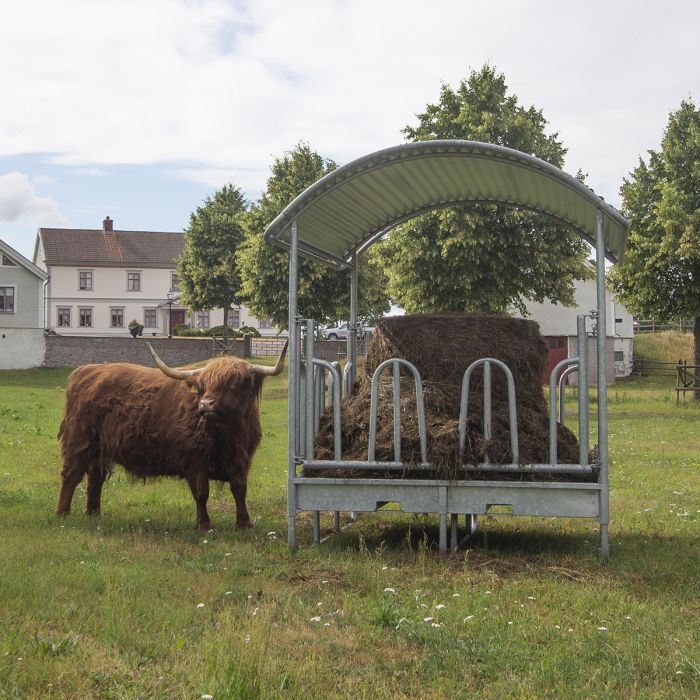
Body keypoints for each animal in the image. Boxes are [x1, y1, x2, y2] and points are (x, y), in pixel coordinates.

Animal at [56, 340, 288, 532]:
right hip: (79, 441)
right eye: (203, 386)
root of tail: (87, 370)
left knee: (95, 477)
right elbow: (202, 493)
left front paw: (244, 523)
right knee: (71, 475)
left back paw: (94, 514)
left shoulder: (243, 459)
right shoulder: (195, 460)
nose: (206, 405)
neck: (228, 435)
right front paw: (204, 525)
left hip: (100, 449)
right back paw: (63, 515)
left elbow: (240, 489)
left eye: (234, 383)